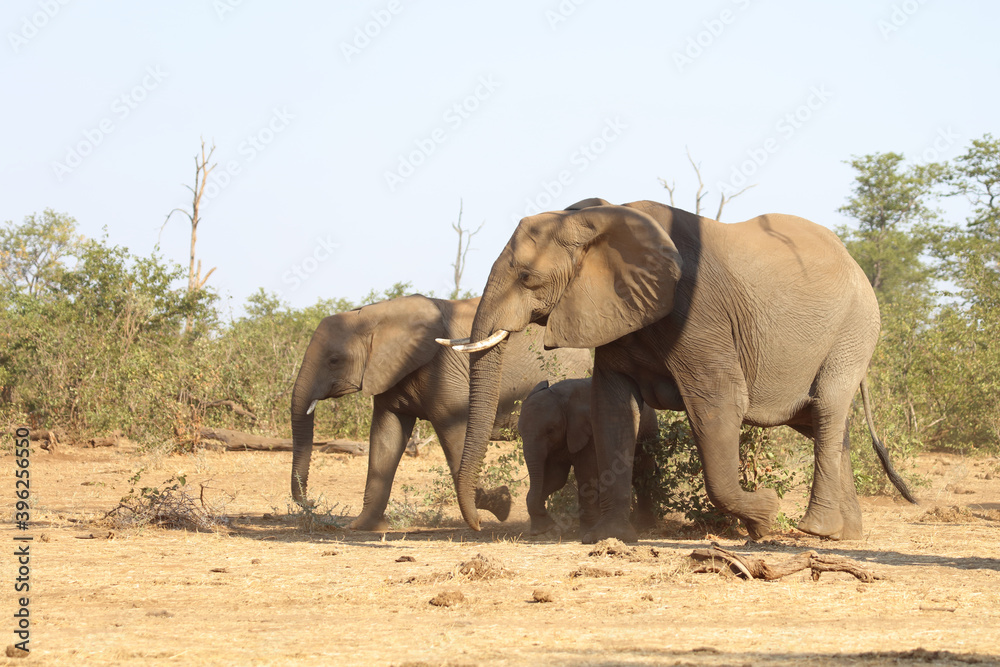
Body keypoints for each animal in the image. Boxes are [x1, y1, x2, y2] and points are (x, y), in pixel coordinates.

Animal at [290, 294, 591, 531]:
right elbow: (386, 439)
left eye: (334, 361)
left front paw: (501, 504)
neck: (376, 314)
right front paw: (362, 527)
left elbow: (454, 437)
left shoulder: (443, 372)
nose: (311, 501)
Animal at [519, 377, 659, 536]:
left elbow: (586, 474)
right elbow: (556, 478)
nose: (537, 531)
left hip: (648, 431)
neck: (561, 398)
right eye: (520, 433)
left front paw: (586, 531)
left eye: (550, 430)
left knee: (642, 474)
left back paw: (645, 527)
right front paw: (543, 529)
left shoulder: (591, 431)